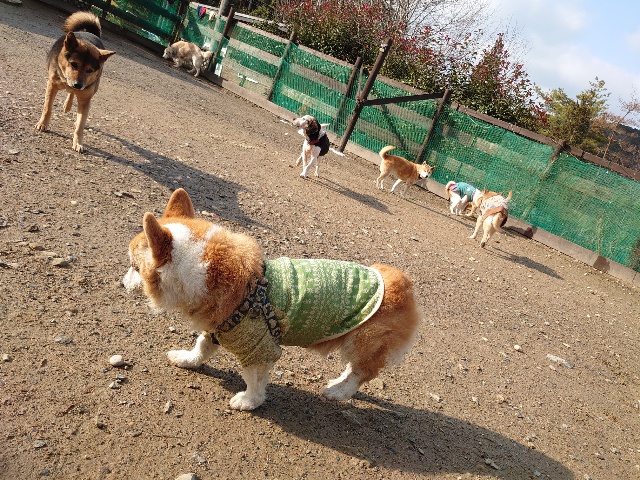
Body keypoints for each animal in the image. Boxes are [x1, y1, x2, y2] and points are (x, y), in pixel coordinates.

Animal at [34, 11, 115, 153]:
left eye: (89, 70)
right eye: (73, 64)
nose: (78, 85)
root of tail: (91, 33)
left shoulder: (85, 99)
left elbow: (80, 125)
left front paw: (77, 142)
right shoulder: (52, 85)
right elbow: (47, 108)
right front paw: (42, 124)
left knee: (72, 93)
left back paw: (68, 105)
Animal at [123, 189, 420, 411]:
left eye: (135, 267)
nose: (122, 283)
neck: (206, 269)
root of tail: (403, 284)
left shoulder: (257, 347)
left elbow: (254, 380)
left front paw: (248, 401)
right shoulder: (219, 329)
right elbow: (201, 347)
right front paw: (188, 360)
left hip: (361, 342)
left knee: (362, 373)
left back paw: (338, 391)